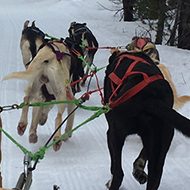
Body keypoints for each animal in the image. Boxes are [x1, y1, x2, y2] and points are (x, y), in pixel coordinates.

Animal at [104, 49, 190, 189]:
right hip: (161, 140)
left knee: (118, 173)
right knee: (154, 176)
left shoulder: (112, 132)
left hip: (115, 135)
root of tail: (150, 97)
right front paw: (138, 170)